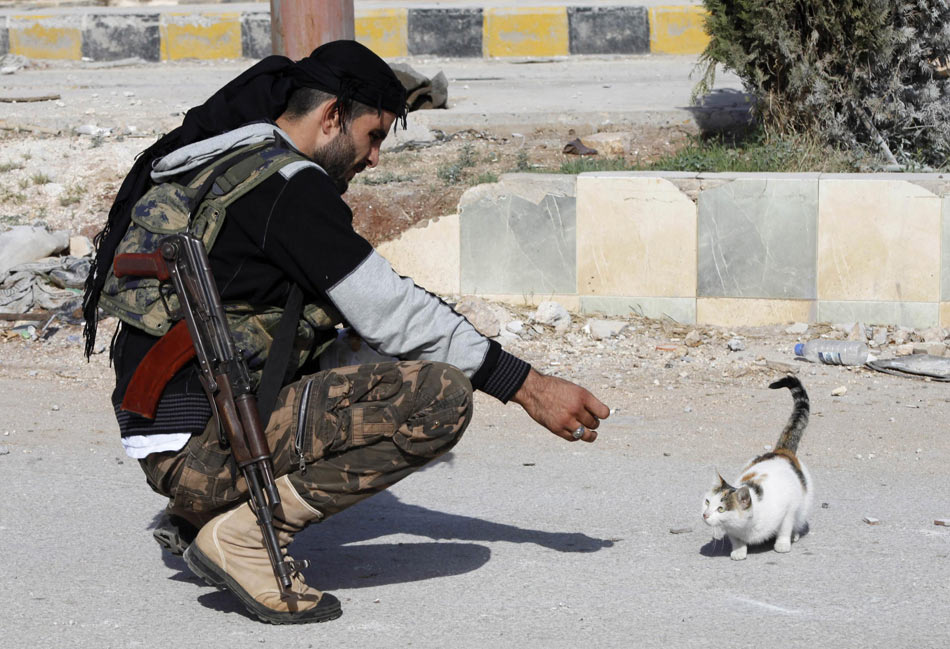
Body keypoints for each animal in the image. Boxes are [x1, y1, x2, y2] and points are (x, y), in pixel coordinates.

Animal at [704, 378, 816, 560]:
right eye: (707, 501)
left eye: (721, 509)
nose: (705, 514)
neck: (746, 527)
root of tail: (781, 451)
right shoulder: (733, 531)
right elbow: (736, 539)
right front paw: (739, 551)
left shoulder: (788, 508)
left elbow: (785, 527)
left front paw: (782, 544)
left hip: (804, 502)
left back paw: (795, 535)